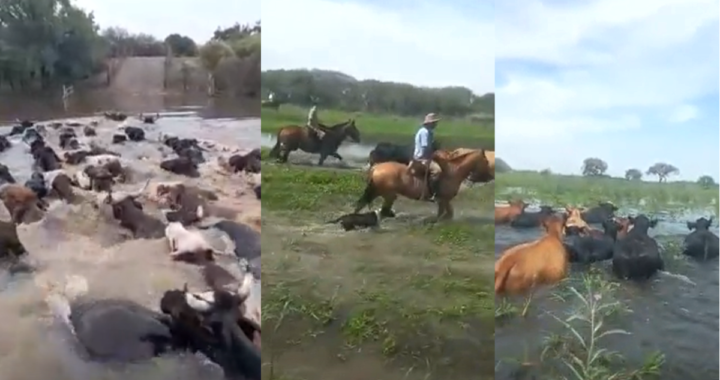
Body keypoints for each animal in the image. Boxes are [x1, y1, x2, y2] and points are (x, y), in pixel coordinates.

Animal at [354, 148, 490, 220]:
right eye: (486, 161)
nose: (488, 176)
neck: (453, 171)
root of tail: (376, 168)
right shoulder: (443, 199)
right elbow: (445, 214)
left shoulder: (444, 201)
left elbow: (446, 214)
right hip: (387, 194)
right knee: (382, 211)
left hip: (377, 191)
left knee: (362, 204)